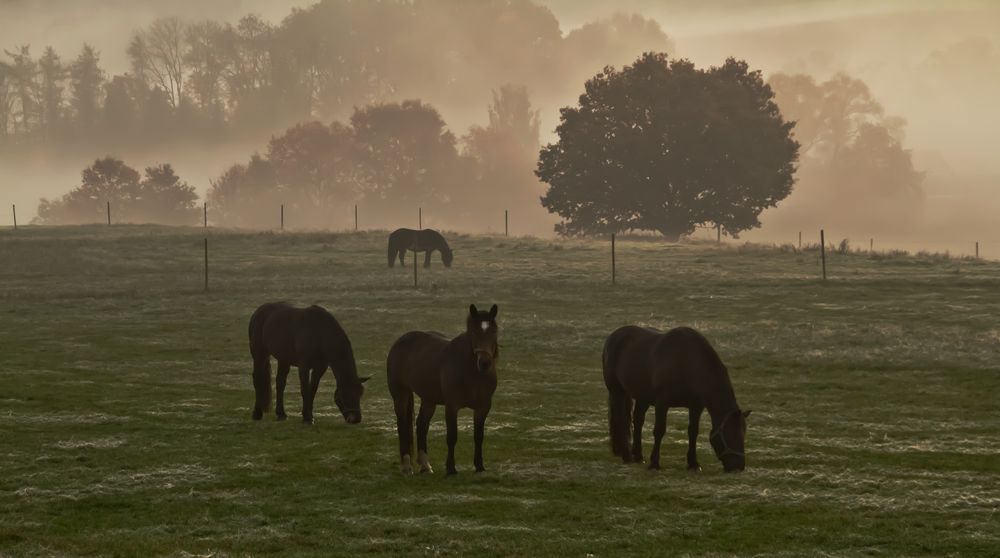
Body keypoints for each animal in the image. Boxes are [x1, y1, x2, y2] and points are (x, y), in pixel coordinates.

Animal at [388, 306, 500, 476]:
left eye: (494, 332)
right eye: (474, 332)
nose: (485, 363)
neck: (472, 372)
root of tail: (400, 340)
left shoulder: (483, 407)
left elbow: (478, 436)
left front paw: (479, 466)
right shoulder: (452, 406)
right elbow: (452, 437)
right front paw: (451, 468)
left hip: (429, 399)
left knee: (421, 425)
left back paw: (425, 465)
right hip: (401, 396)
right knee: (402, 427)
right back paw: (407, 467)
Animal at [600, 326, 752, 474]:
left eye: (743, 434)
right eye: (729, 434)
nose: (738, 467)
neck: (686, 362)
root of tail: (612, 337)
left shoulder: (696, 407)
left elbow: (693, 432)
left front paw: (693, 464)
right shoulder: (662, 403)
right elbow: (659, 430)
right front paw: (654, 464)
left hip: (643, 397)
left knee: (638, 421)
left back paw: (638, 456)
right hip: (617, 392)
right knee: (622, 421)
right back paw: (627, 457)